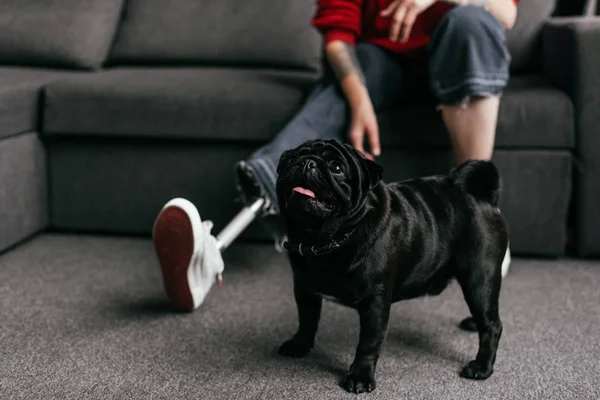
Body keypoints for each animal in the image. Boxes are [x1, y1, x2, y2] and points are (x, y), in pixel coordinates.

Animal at [274, 138, 508, 394]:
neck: (325, 239)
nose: (307, 162)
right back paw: (473, 323)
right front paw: (299, 344)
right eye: (291, 159)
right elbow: (306, 321)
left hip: (479, 277)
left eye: (336, 168)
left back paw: (481, 367)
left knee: (492, 325)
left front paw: (359, 376)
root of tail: (480, 194)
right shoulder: (305, 290)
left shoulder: (374, 303)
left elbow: (368, 343)